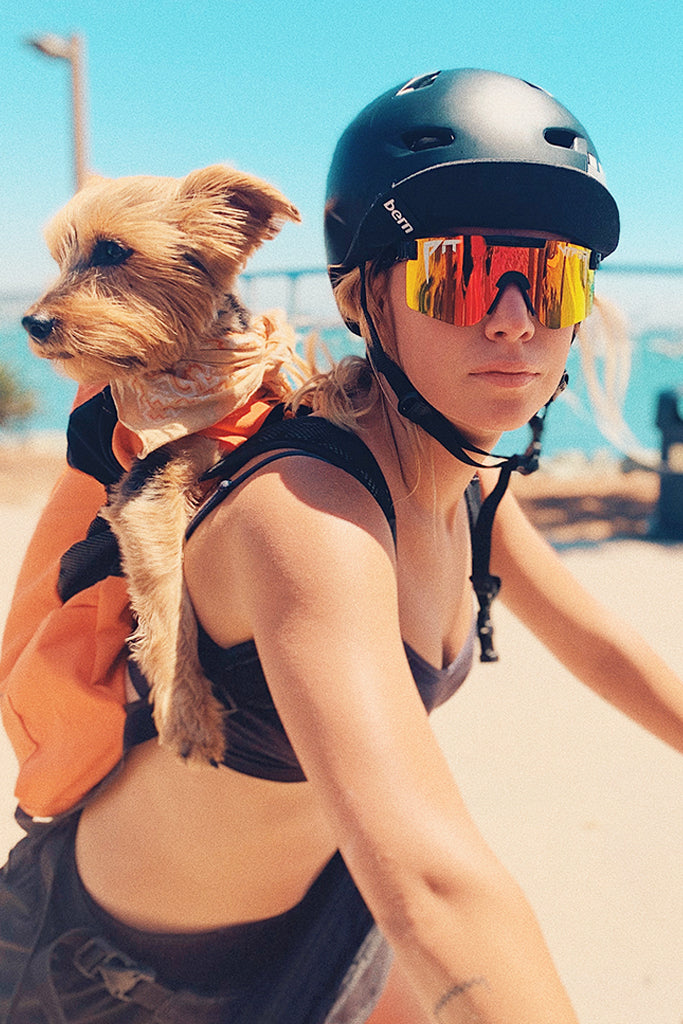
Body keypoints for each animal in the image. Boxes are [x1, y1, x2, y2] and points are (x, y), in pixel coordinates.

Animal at [22, 165, 301, 764]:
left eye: (111, 250)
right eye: (62, 257)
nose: (31, 322)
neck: (194, 365)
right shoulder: (144, 491)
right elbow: (169, 600)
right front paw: (189, 713)